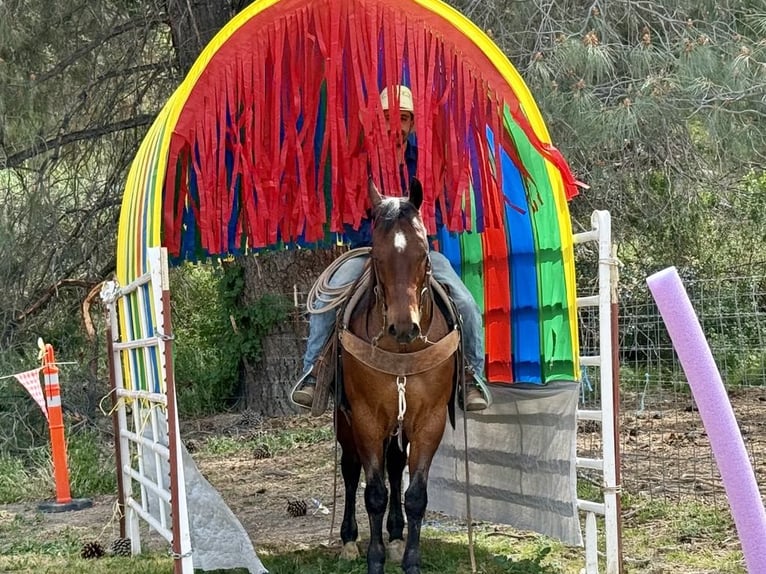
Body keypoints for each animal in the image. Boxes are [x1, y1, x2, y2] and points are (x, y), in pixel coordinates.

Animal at [334, 177, 460, 574]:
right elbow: (374, 492)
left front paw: (410, 560)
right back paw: (349, 539)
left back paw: (395, 534)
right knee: (350, 469)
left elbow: (415, 494)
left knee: (394, 464)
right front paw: (374, 560)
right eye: (377, 256)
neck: (402, 354)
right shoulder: (366, 418)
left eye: (424, 253)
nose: (404, 328)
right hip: (346, 421)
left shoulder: (429, 420)